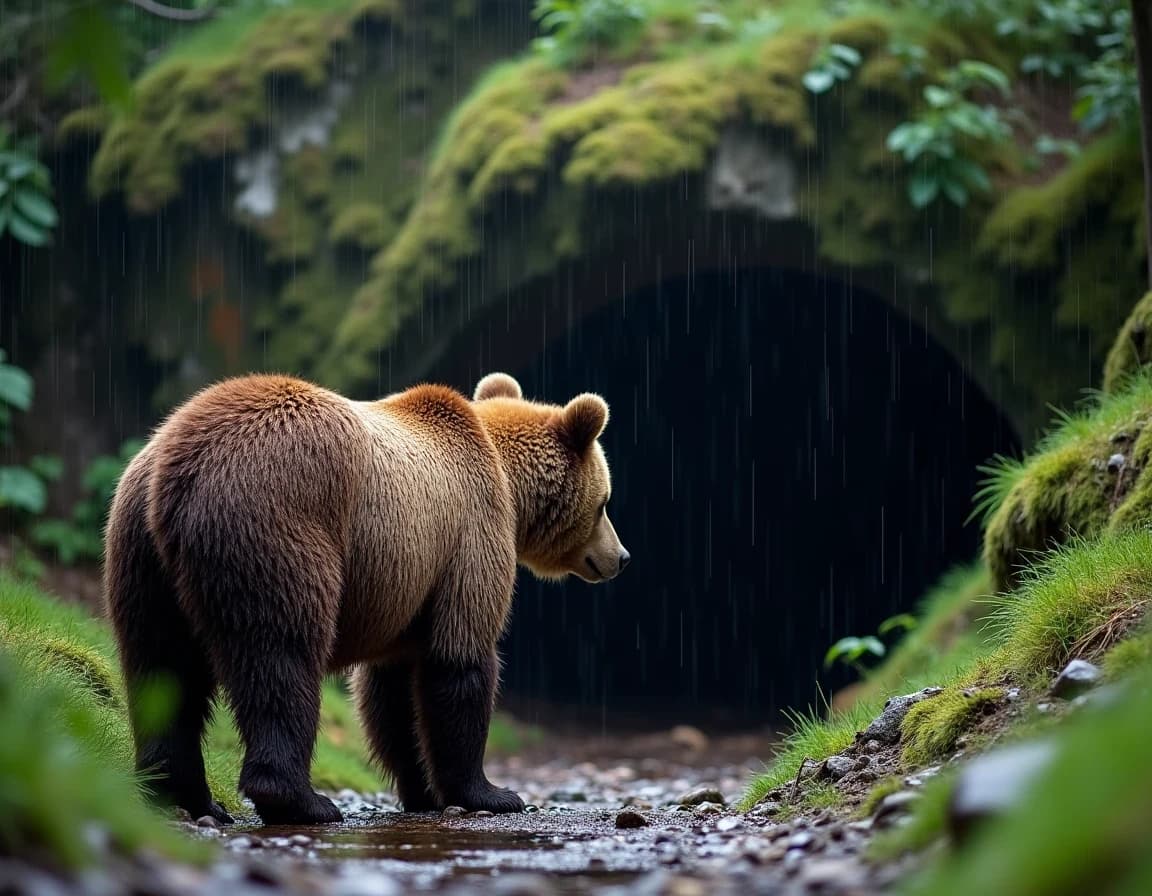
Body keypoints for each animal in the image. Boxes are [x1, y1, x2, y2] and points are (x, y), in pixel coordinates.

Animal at [103, 371, 628, 825]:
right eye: (605, 501)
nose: (621, 557)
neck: (508, 486)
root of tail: (175, 467)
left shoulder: (405, 590)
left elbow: (390, 694)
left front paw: (424, 790)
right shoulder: (469, 535)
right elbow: (460, 659)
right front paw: (491, 793)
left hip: (138, 553)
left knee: (161, 667)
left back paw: (184, 795)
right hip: (276, 521)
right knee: (281, 657)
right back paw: (301, 801)